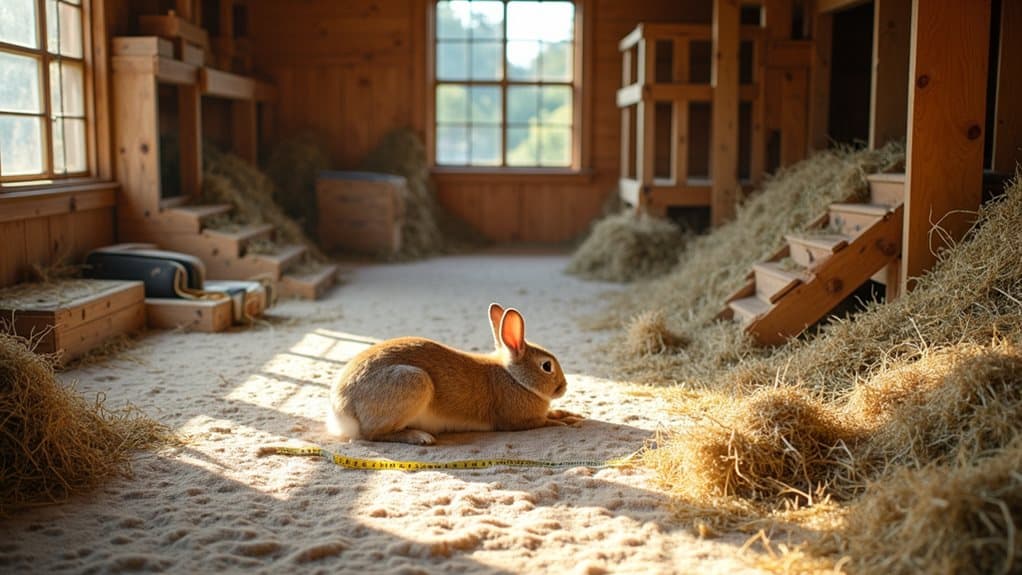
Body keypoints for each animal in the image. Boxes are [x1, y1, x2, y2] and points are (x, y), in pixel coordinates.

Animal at [326, 303, 583, 445]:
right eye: (547, 366)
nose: (564, 386)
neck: (515, 378)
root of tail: (341, 410)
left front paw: (567, 414)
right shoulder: (518, 421)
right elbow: (543, 422)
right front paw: (563, 422)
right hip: (414, 382)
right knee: (371, 435)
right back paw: (419, 437)